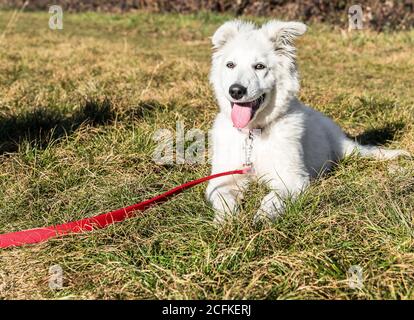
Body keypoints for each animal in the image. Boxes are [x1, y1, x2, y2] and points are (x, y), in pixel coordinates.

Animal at [205, 20, 410, 224]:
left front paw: (262, 218)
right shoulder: (223, 179)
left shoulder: (292, 179)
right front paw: (225, 222)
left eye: (259, 66)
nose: (236, 91)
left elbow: (272, 198)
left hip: (349, 150)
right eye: (230, 65)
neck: (253, 135)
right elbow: (223, 199)